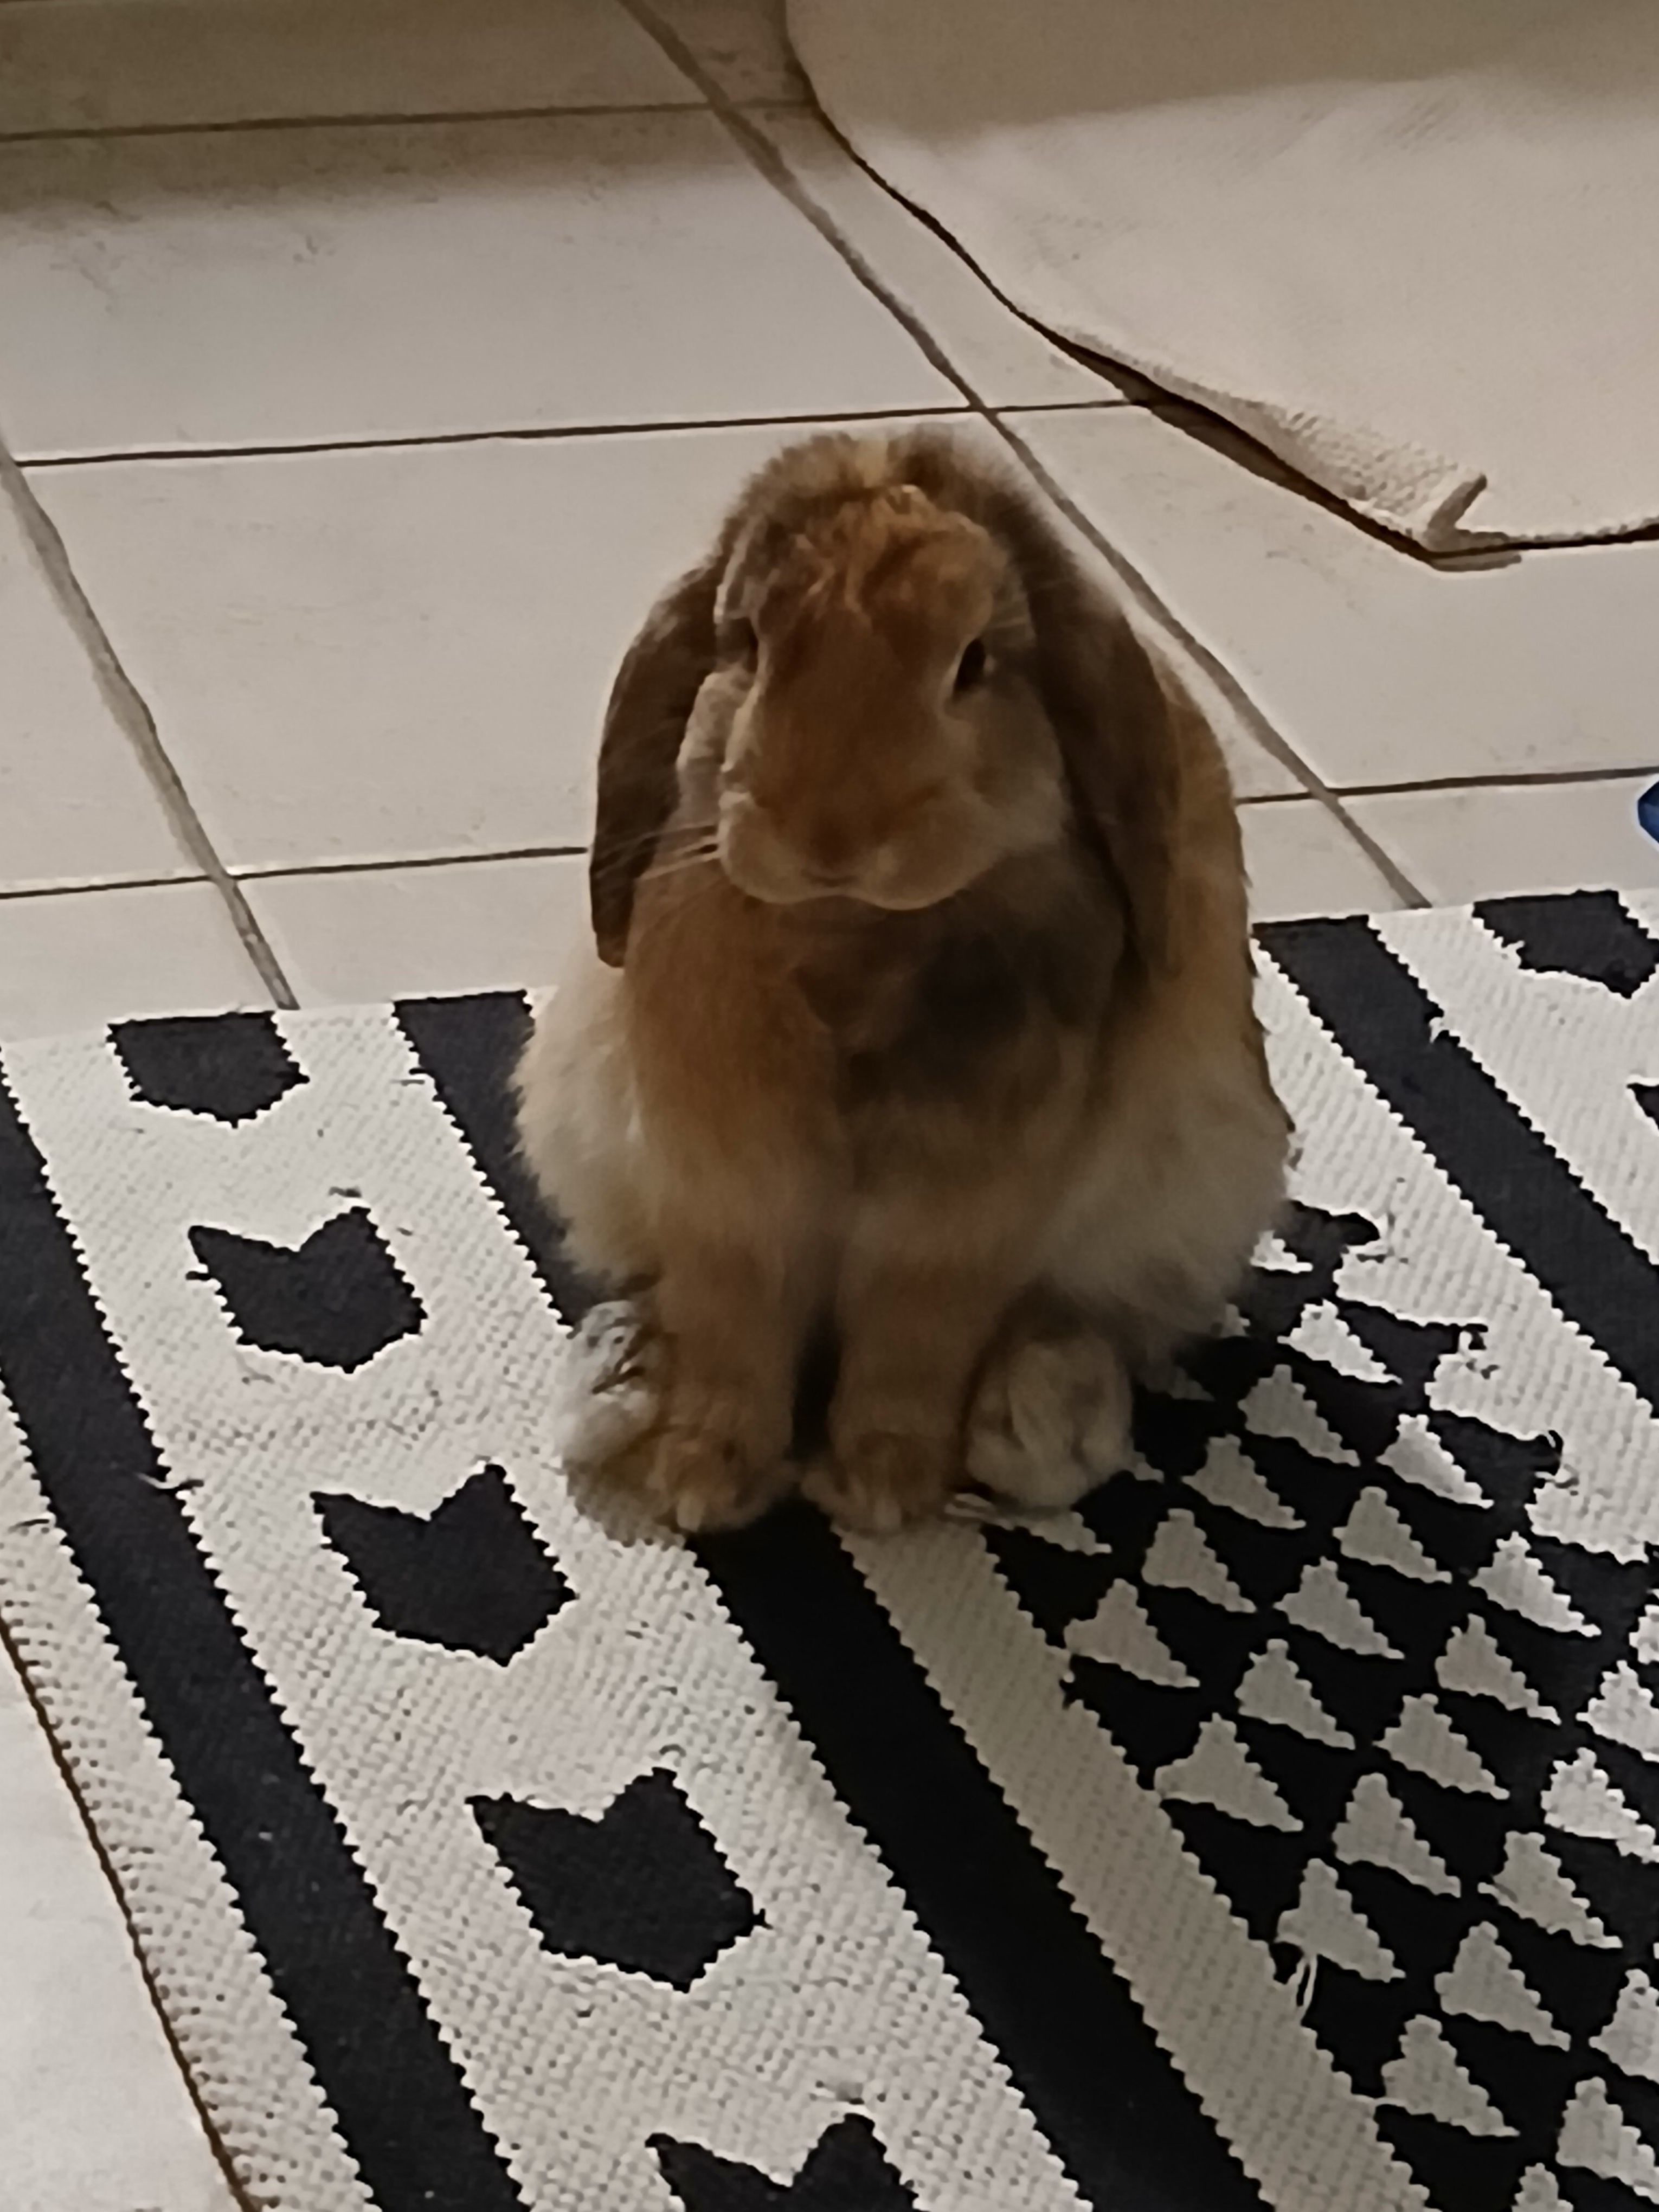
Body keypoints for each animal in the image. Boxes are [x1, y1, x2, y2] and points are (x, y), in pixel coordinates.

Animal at [515, 428, 1290, 1534]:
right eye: (748, 645)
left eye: (974, 663)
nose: (829, 836)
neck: (854, 935)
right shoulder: (728, 1190)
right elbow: (733, 1323)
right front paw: (703, 1481)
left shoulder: (956, 1217)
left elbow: (913, 1341)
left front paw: (880, 1489)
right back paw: (623, 1377)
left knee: (1075, 1331)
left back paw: (1038, 1410)